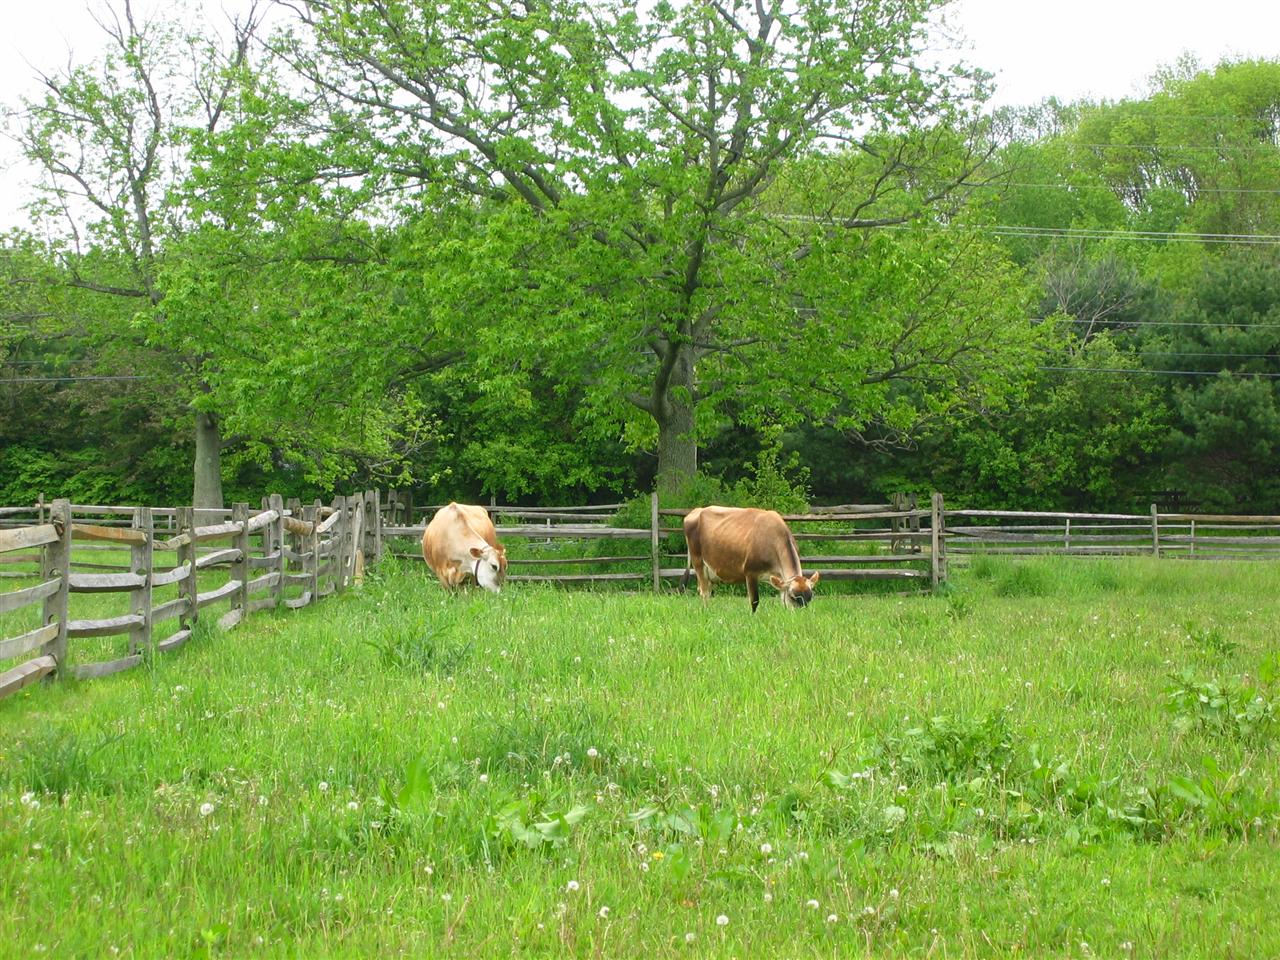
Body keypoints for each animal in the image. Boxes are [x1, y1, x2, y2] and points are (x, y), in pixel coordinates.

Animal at [681, 505, 820, 612]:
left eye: (810, 597)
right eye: (793, 597)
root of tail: (697, 510)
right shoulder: (750, 572)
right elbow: (754, 601)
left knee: (705, 590)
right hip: (698, 561)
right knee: (704, 591)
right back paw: (707, 611)